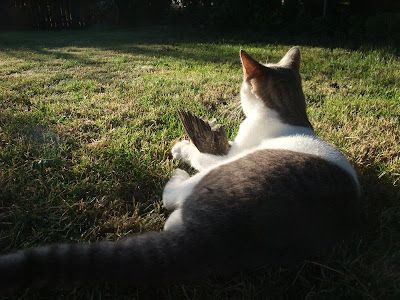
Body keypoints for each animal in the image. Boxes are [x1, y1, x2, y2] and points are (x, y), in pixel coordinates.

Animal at [0, 47, 360, 292]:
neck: (289, 111)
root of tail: (215, 237)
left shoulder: (228, 155)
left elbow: (202, 154)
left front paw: (182, 147)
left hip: (210, 180)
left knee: (172, 199)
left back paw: (177, 176)